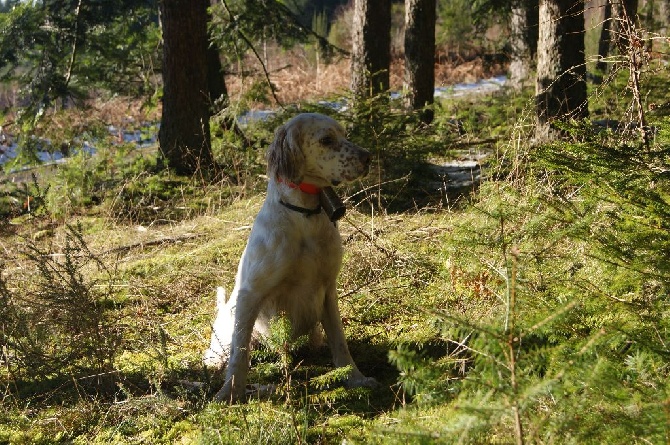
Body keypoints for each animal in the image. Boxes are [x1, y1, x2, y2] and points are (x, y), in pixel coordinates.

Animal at [206, 112, 378, 402]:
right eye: (326, 140)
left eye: (344, 135)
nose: (367, 157)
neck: (305, 216)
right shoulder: (250, 294)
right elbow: (240, 354)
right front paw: (229, 394)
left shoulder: (328, 288)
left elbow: (340, 341)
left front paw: (355, 378)